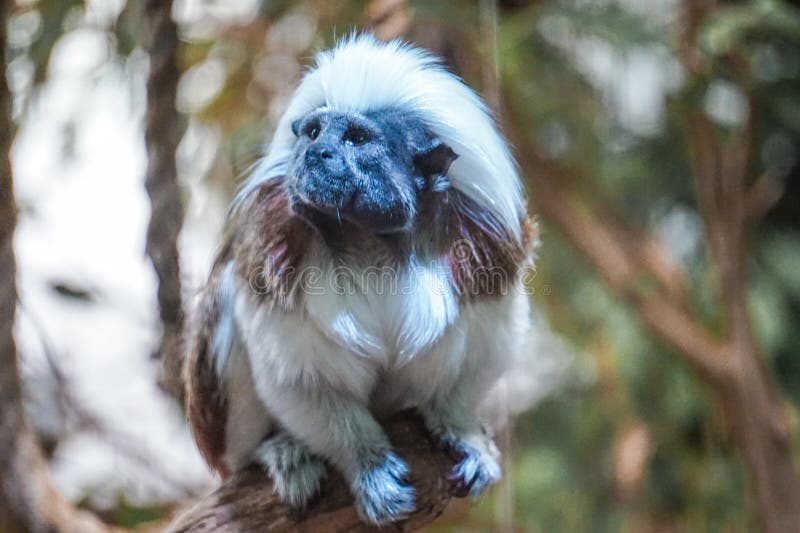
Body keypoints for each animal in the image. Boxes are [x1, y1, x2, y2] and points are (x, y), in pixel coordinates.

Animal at [184, 34, 536, 524]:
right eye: (314, 132)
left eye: (356, 138)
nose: (316, 153)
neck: (369, 240)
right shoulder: (272, 247)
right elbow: (304, 383)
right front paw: (370, 468)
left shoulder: (487, 253)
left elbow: (483, 355)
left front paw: (463, 432)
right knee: (224, 308)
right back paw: (279, 450)